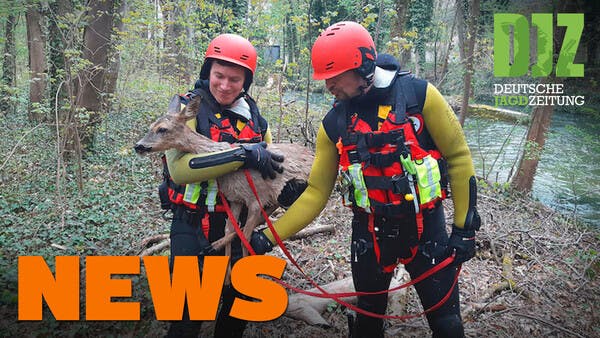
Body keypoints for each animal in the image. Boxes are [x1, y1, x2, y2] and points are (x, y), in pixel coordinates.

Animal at [135, 94, 314, 258]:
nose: (138, 146)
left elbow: (245, 238)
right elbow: (229, 230)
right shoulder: (235, 199)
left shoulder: (256, 198)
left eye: (162, 129)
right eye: (151, 126)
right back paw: (212, 246)